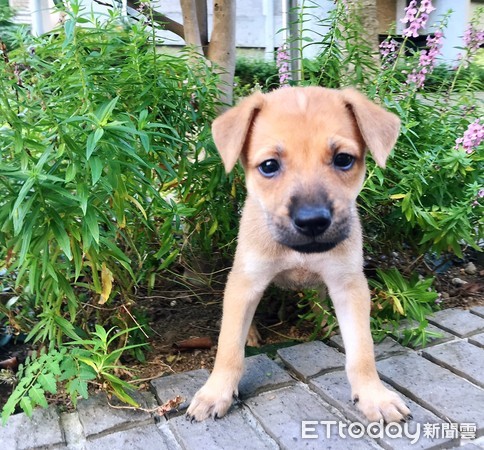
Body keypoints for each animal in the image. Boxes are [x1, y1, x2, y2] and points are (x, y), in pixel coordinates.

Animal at [187, 87, 410, 422]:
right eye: (269, 166)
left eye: (343, 159)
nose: (312, 221)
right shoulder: (247, 281)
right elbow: (229, 346)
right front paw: (216, 392)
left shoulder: (349, 285)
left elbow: (362, 349)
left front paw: (375, 396)